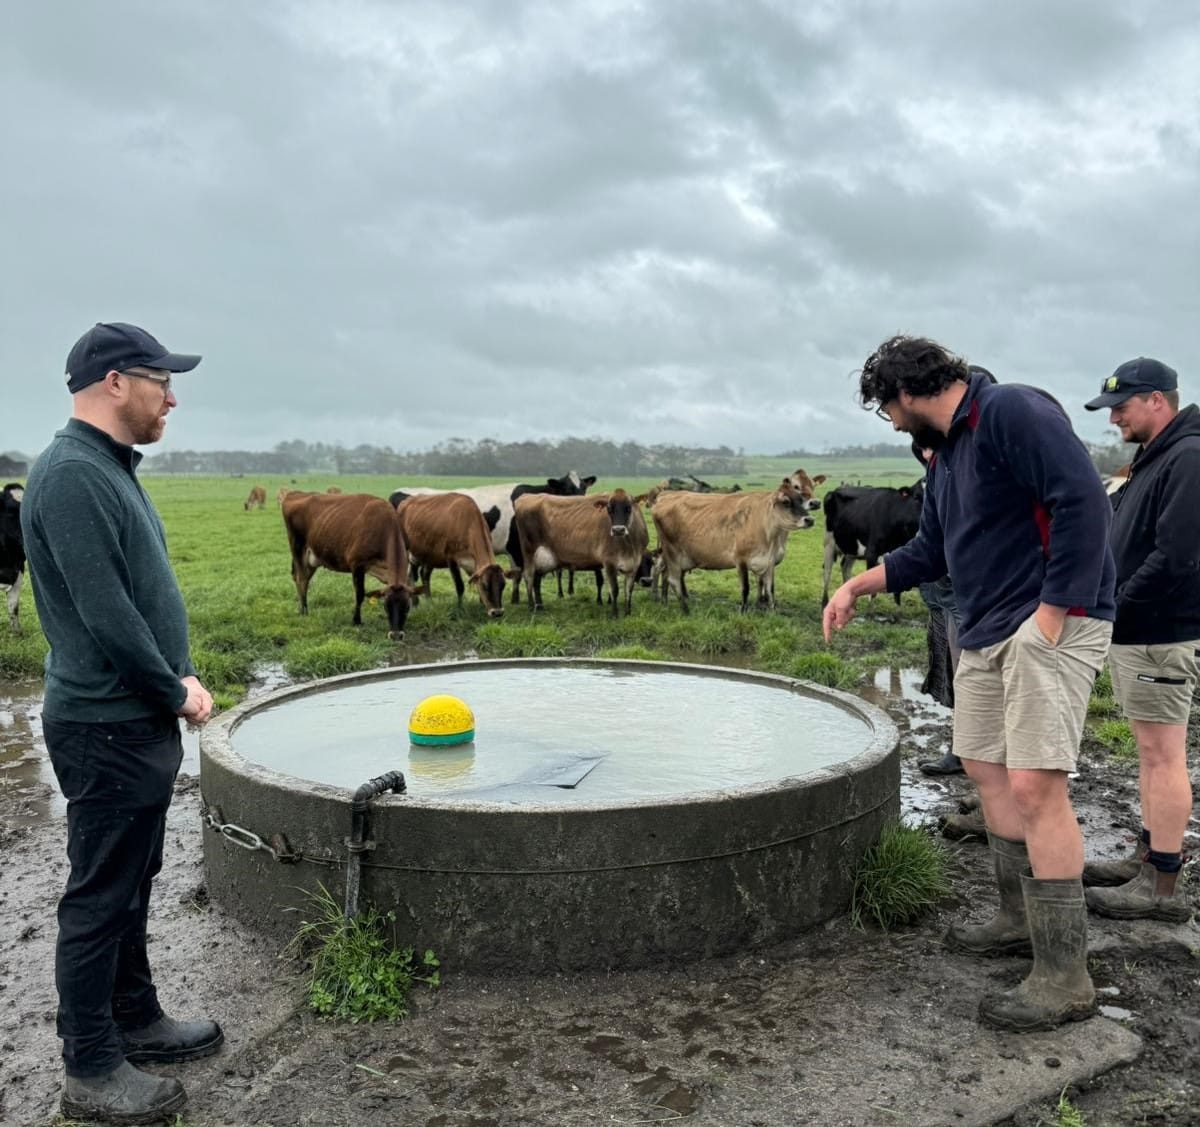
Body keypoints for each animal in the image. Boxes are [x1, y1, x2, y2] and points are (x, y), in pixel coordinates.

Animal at [281, 491, 419, 639]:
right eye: (386, 606)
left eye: (407, 606)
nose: (396, 635)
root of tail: (295, 493)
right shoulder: (357, 564)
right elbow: (360, 594)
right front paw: (356, 620)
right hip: (297, 548)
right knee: (301, 580)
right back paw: (304, 611)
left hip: (312, 558)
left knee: (304, 579)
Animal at [387, 471, 597, 603]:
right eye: (567, 489)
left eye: (583, 488)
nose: (581, 504)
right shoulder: (517, 547)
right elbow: (521, 573)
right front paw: (520, 600)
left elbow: (516, 574)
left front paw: (514, 599)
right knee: (410, 573)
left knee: (422, 573)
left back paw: (426, 599)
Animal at [513, 490, 649, 617]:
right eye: (609, 509)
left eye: (628, 508)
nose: (618, 530)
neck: (629, 546)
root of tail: (526, 496)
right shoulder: (609, 562)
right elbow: (614, 589)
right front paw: (614, 615)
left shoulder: (634, 563)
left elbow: (629, 590)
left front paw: (628, 613)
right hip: (529, 552)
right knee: (529, 576)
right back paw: (531, 606)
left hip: (544, 559)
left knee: (537, 579)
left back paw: (540, 606)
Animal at [650, 478, 819, 613]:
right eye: (785, 502)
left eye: (801, 500)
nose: (809, 520)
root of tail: (666, 495)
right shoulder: (740, 560)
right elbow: (746, 588)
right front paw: (743, 610)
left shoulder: (769, 562)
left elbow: (770, 589)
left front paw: (772, 612)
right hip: (672, 552)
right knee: (671, 578)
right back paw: (684, 609)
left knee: (662, 572)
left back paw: (663, 601)